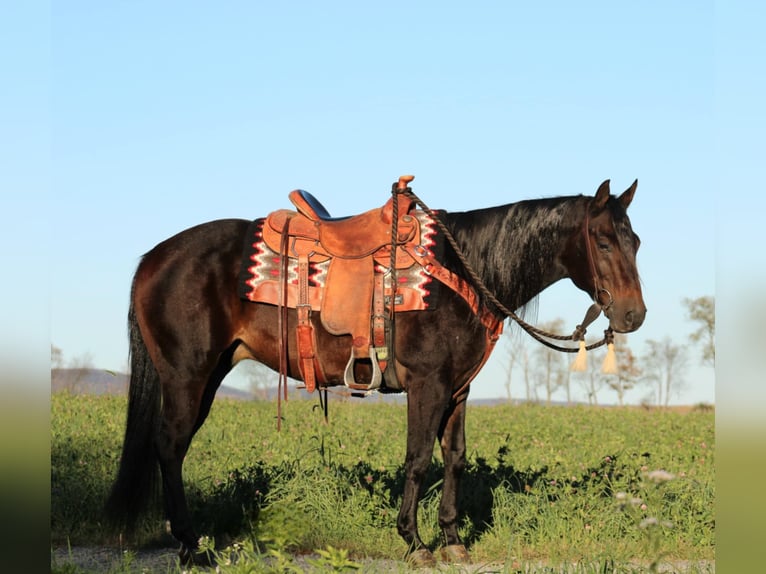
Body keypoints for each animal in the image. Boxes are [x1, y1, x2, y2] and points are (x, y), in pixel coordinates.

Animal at [105, 179, 648, 568]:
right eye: (602, 241)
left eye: (636, 241)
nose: (633, 315)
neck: (464, 272)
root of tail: (154, 258)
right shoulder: (427, 385)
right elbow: (418, 458)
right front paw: (415, 541)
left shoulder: (459, 389)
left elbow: (454, 458)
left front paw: (452, 539)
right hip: (187, 377)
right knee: (170, 446)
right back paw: (191, 546)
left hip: (208, 375)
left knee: (171, 448)